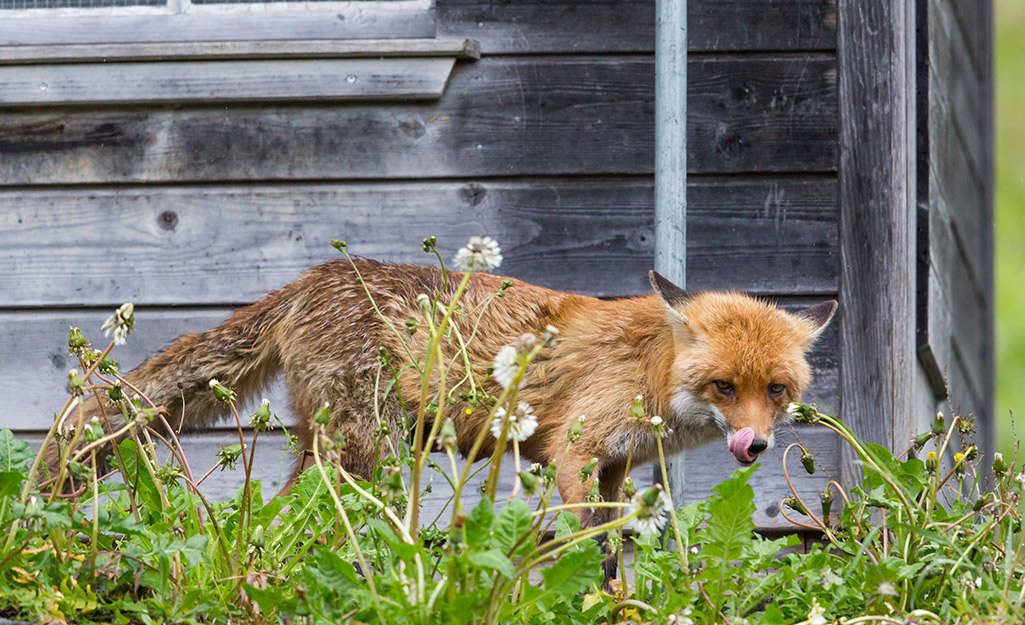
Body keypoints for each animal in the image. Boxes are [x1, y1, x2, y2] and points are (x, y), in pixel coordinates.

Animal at [44, 255, 836, 518]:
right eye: (724, 386)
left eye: (776, 389)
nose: (756, 445)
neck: (649, 373)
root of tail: (309, 279)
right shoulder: (571, 453)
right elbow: (585, 545)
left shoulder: (616, 467)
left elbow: (618, 550)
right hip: (363, 450)